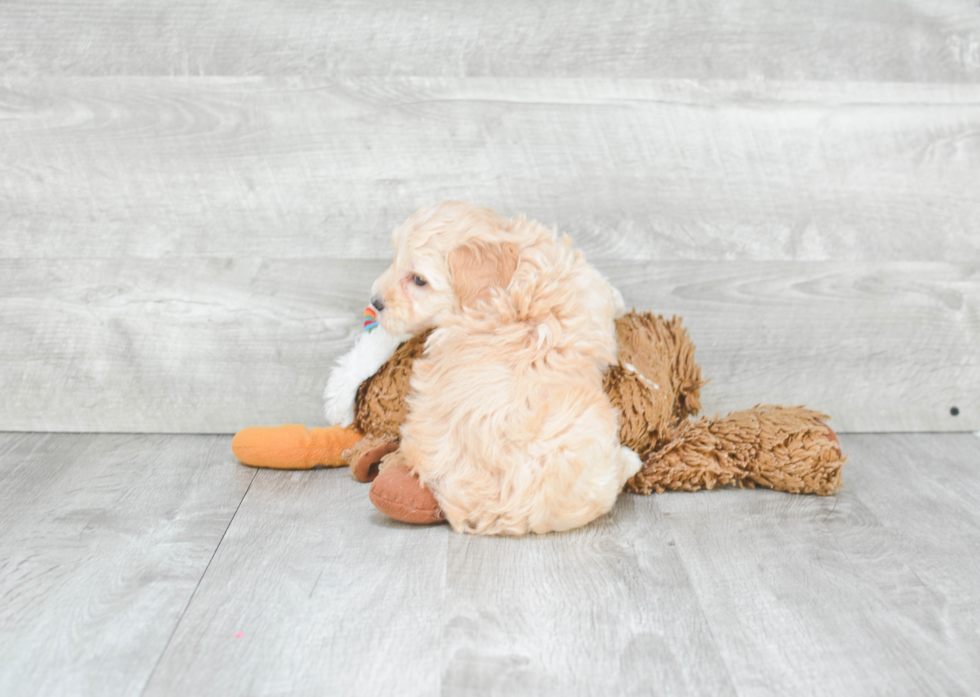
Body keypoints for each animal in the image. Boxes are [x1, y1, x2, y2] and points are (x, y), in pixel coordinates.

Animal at [372, 200, 640, 532]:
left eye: (419, 280)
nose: (375, 302)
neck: (516, 274)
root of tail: (498, 510)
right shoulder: (589, 297)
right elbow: (606, 295)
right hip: (589, 426)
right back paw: (630, 460)